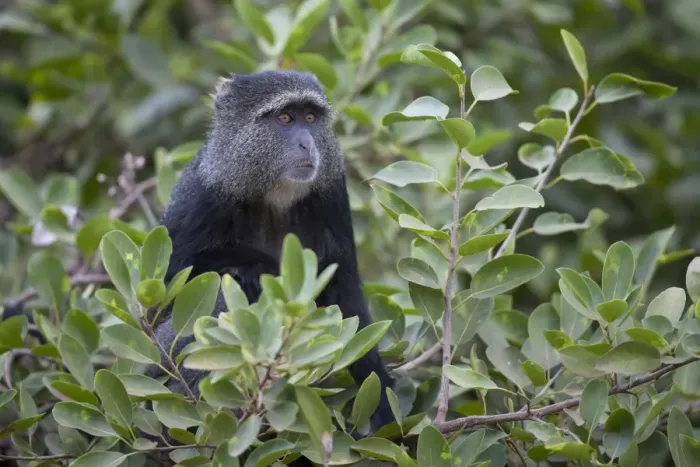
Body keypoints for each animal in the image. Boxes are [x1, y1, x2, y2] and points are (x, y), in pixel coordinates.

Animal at [145, 70, 396, 460]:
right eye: (285, 119)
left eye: (310, 118)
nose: (307, 144)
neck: (275, 193)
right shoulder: (204, 193)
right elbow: (165, 290)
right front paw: (260, 266)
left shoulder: (333, 192)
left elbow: (346, 301)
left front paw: (382, 400)